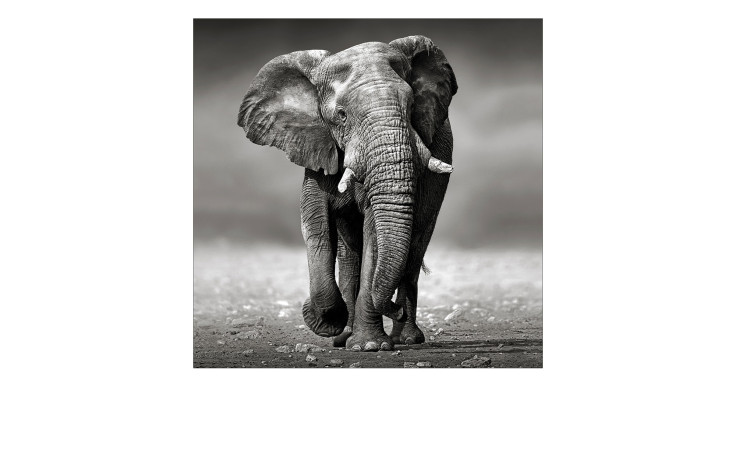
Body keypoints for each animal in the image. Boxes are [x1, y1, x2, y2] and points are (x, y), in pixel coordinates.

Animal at [237, 35, 457, 351]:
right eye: (341, 116)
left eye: (412, 105)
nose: (394, 309)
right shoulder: (316, 147)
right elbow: (315, 223)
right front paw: (327, 321)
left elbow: (374, 232)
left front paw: (370, 346)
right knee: (349, 253)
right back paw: (344, 336)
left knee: (414, 248)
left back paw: (406, 338)